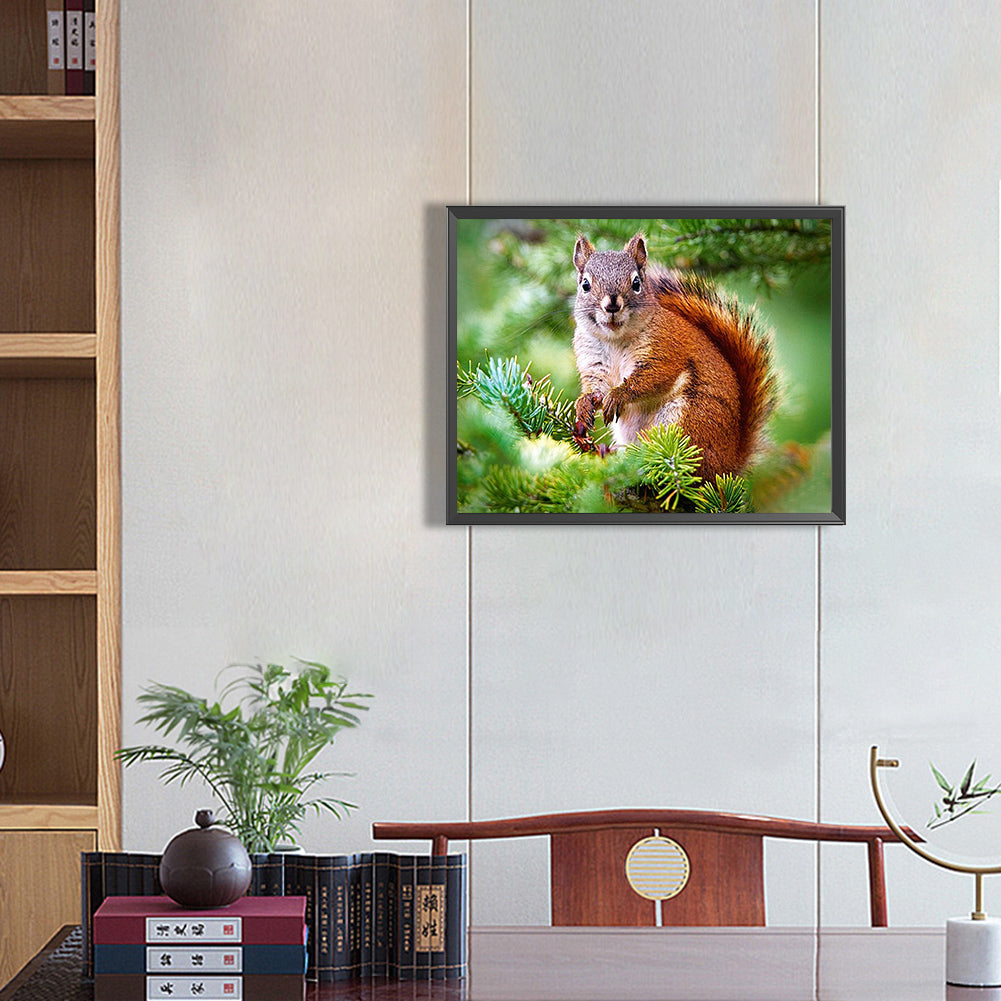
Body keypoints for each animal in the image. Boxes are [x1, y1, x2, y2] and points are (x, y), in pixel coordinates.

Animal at [571, 232, 777, 481]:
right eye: (585, 284)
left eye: (636, 283)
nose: (612, 304)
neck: (615, 340)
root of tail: (729, 464)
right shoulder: (593, 360)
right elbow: (596, 388)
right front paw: (584, 404)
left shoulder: (666, 350)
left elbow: (651, 378)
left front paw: (618, 395)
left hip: (685, 420)